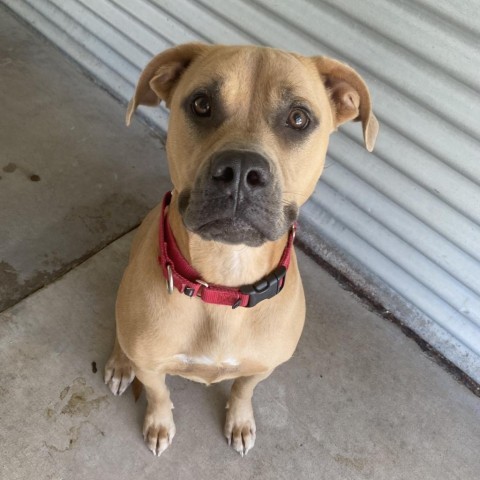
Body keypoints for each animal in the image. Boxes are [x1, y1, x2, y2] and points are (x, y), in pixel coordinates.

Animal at [104, 43, 378, 456]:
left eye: (299, 118)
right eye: (201, 104)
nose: (240, 170)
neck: (224, 282)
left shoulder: (263, 365)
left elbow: (243, 389)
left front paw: (240, 421)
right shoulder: (151, 367)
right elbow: (158, 393)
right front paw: (159, 423)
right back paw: (121, 364)